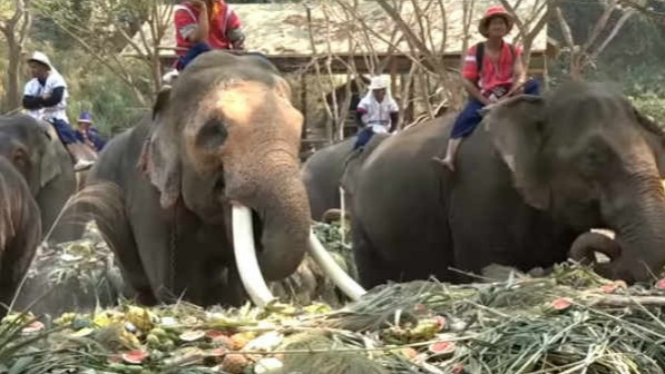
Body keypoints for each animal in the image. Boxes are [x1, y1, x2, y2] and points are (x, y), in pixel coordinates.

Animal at [342, 80, 665, 288]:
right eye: (592, 158)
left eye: (656, 151)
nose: (612, 245)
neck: (540, 104)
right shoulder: (478, 193)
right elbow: (480, 265)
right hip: (360, 224)